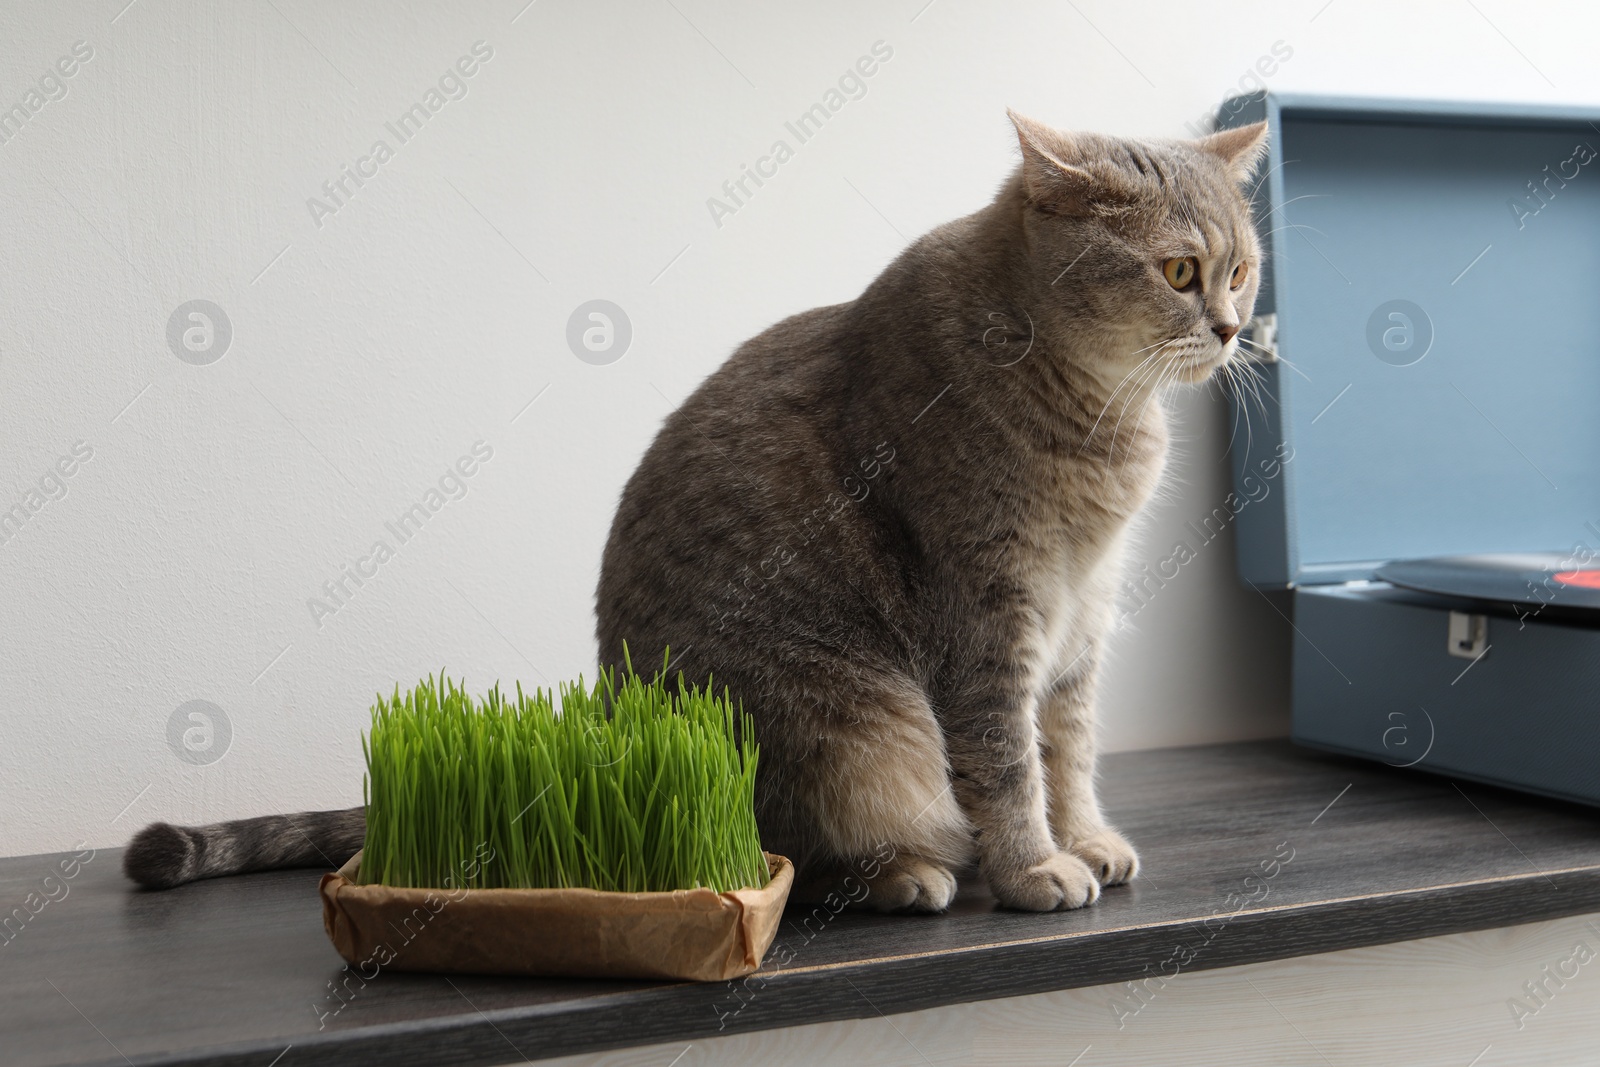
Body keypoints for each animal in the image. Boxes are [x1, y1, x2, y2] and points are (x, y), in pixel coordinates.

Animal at [124, 108, 1267, 915]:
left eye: (1242, 270)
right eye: (1179, 270)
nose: (1229, 327)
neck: (1100, 418)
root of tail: (612, 712)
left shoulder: (1081, 614)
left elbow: (1068, 746)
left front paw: (1088, 838)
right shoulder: (988, 613)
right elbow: (1006, 760)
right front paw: (1035, 867)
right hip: (860, 732)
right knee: (804, 850)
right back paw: (911, 872)